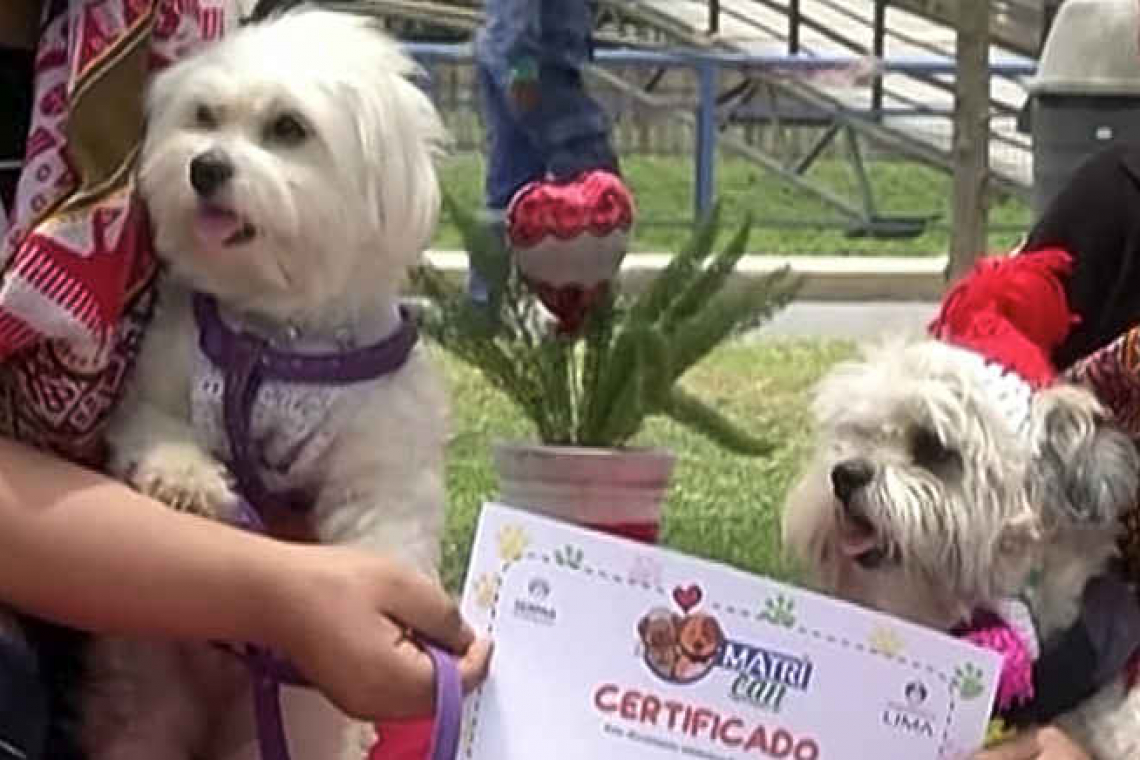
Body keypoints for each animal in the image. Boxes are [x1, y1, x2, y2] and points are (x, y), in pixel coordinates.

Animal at [81, 7, 449, 760]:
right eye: (204, 116)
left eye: (288, 128)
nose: (205, 167)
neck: (276, 341)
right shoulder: (160, 383)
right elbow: (158, 431)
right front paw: (187, 482)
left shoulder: (381, 451)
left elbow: (387, 521)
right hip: (149, 667)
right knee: (143, 722)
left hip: (285, 706)